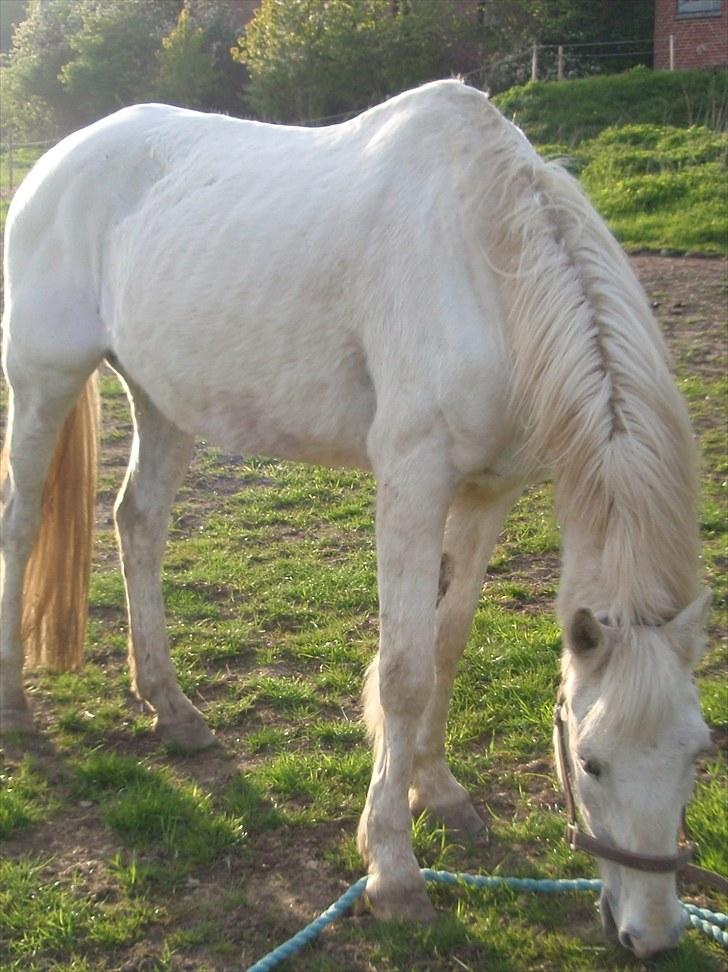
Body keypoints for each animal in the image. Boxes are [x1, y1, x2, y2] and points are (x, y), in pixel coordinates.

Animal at [0, 81, 712, 956]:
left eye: (697, 756)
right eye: (590, 761)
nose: (654, 934)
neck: (486, 266)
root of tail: (59, 160)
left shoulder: (491, 491)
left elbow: (447, 643)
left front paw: (438, 792)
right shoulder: (412, 479)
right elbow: (404, 671)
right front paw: (393, 871)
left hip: (162, 397)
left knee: (139, 523)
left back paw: (172, 707)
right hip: (43, 380)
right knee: (21, 522)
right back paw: (15, 703)